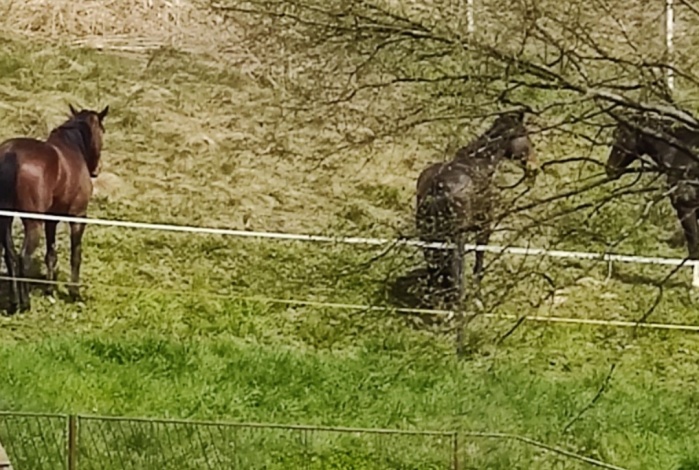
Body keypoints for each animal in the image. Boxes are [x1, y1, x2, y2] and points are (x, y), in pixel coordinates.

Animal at [0, 104, 108, 314]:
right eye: (102, 130)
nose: (97, 169)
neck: (72, 147)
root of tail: (10, 154)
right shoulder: (77, 217)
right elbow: (76, 255)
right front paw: (75, 293)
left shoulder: (52, 218)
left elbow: (50, 255)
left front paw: (50, 290)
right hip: (33, 223)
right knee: (23, 257)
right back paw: (25, 303)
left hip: (4, 220)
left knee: (10, 256)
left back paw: (14, 303)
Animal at [418, 109, 540, 302]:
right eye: (525, 134)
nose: (534, 166)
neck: (479, 163)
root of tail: (437, 186)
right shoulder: (484, 226)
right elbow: (479, 260)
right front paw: (477, 296)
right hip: (456, 238)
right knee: (455, 271)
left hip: (428, 235)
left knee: (434, 269)